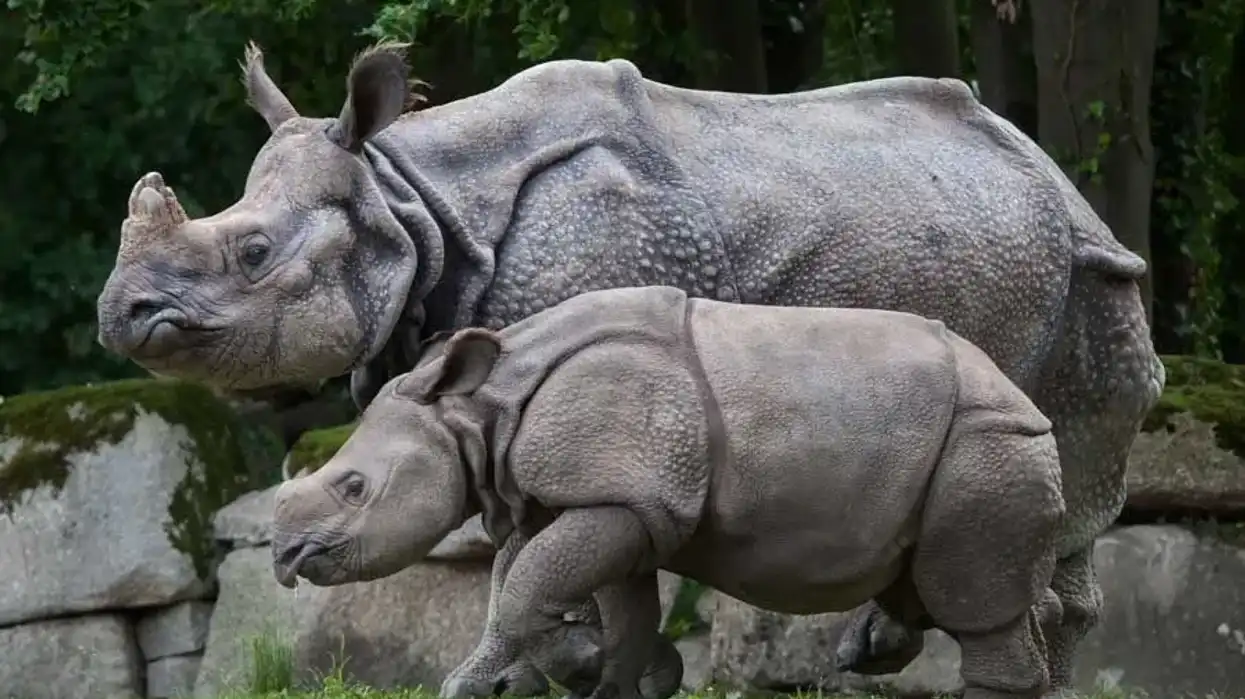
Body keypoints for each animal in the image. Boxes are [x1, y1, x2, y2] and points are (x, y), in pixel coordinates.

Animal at [269, 285, 1069, 699]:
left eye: (352, 486)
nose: (281, 556)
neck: (477, 409)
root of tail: (1026, 399)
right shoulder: (611, 502)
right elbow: (536, 592)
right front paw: (607, 675)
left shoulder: (622, 494)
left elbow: (526, 588)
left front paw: (579, 665)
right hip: (962, 443)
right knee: (957, 589)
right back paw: (873, 648)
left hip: (986, 443)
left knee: (973, 597)